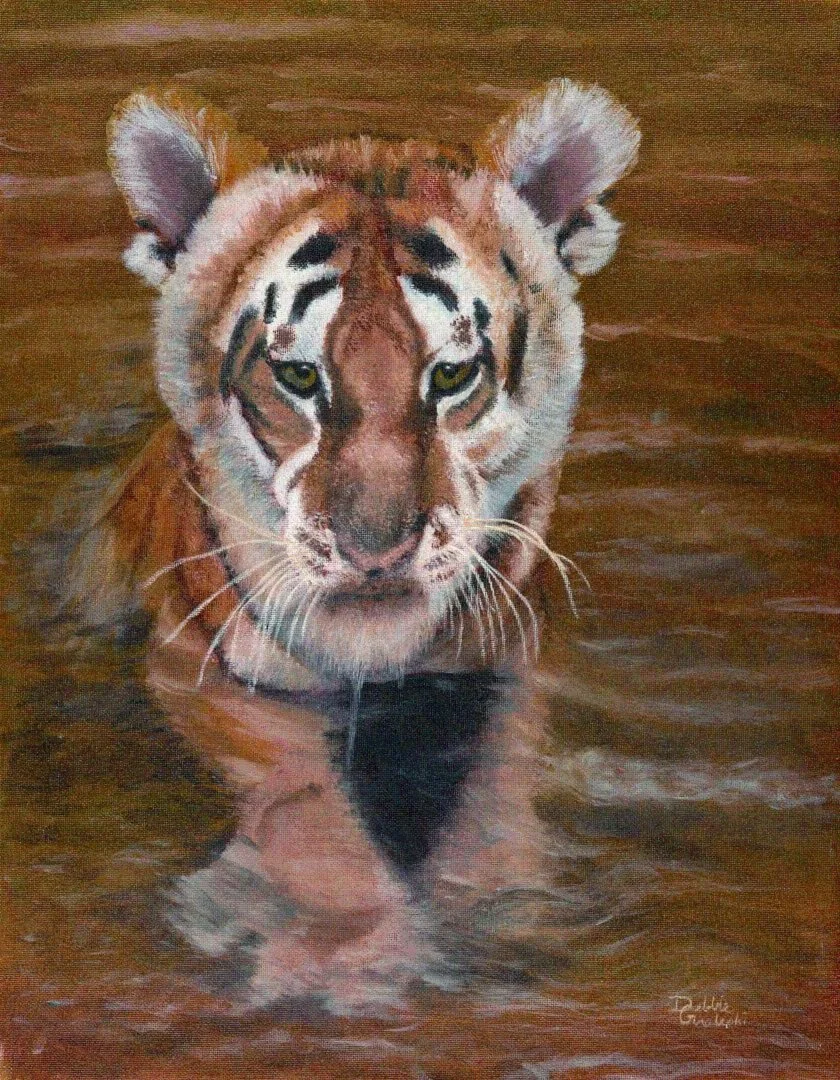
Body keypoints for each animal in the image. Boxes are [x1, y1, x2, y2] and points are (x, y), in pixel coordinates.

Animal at [85, 78, 639, 1011]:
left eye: (452, 375)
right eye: (297, 377)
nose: (375, 552)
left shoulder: (507, 669)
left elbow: (495, 791)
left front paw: (496, 909)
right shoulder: (207, 674)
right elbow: (302, 802)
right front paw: (346, 953)